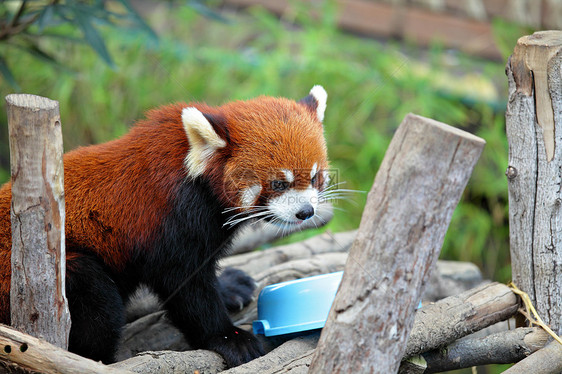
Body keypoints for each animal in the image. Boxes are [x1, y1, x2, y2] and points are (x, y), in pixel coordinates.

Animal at [0, 84, 328, 366]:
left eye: (314, 177)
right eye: (278, 184)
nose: (305, 211)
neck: (195, 175)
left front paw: (228, 286)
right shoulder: (169, 223)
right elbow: (186, 288)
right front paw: (230, 338)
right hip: (57, 273)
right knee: (98, 305)